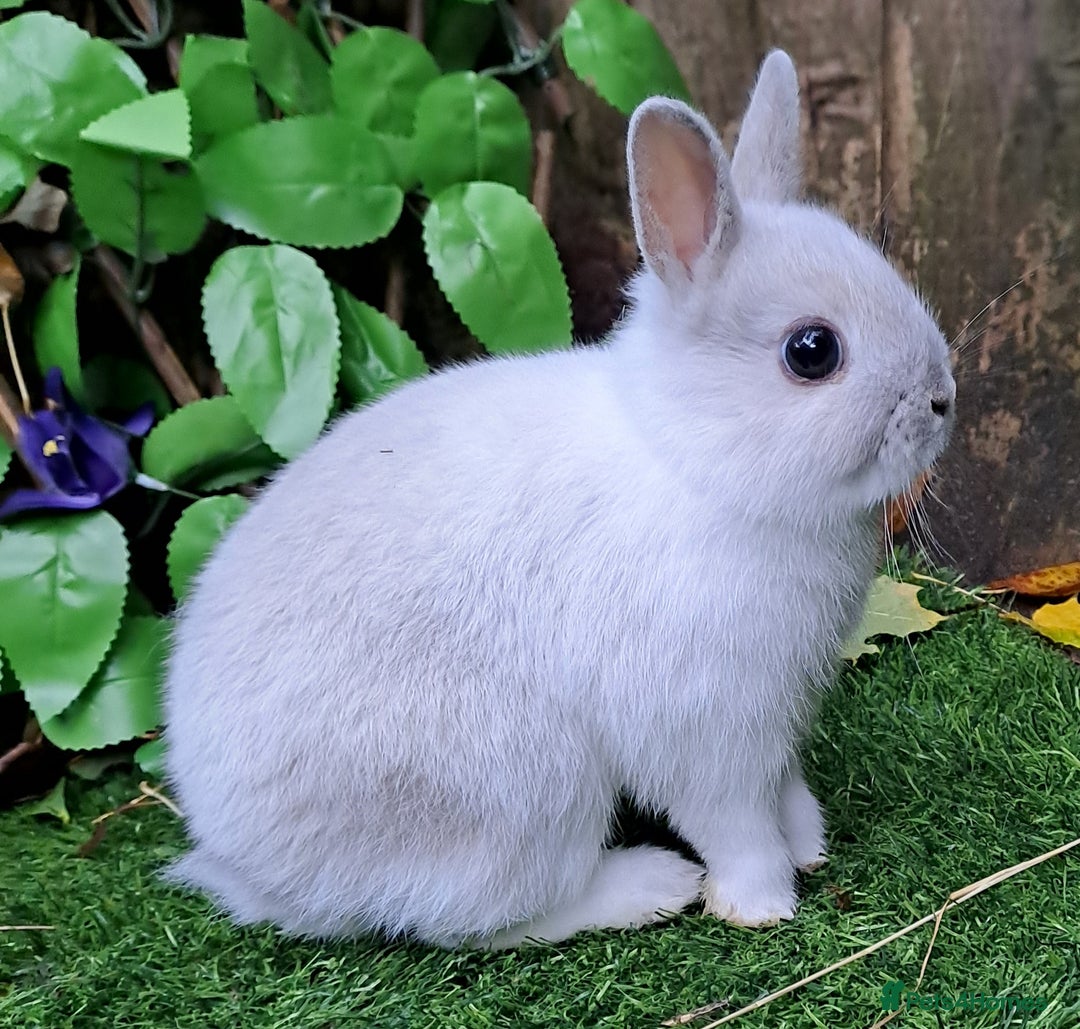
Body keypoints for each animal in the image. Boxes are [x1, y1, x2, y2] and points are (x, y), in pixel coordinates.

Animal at [163, 49, 956, 948]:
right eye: (812, 351)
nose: (943, 399)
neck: (694, 461)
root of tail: (239, 857)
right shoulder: (701, 724)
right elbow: (733, 821)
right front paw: (761, 901)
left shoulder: (772, 718)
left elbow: (781, 788)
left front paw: (811, 842)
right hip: (522, 785)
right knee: (490, 914)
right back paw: (652, 885)